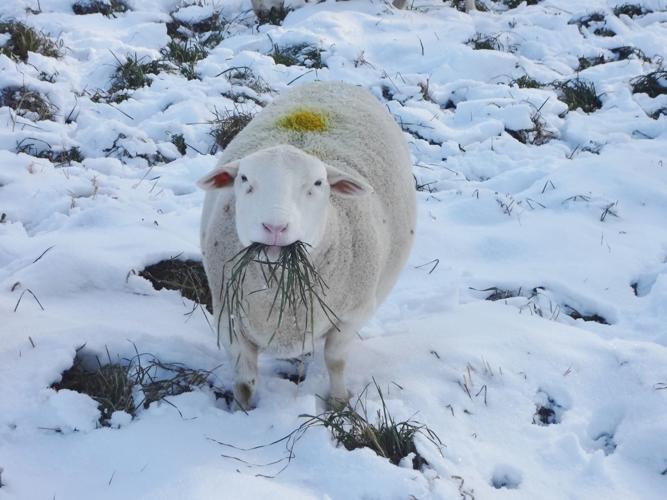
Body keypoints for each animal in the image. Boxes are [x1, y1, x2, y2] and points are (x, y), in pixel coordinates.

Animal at [198, 81, 416, 410]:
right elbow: (245, 382)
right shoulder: (228, 317)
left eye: (317, 183)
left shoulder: (351, 316)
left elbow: (335, 360)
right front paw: (243, 411)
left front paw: (338, 403)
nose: (275, 228)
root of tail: (335, 82)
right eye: (244, 179)